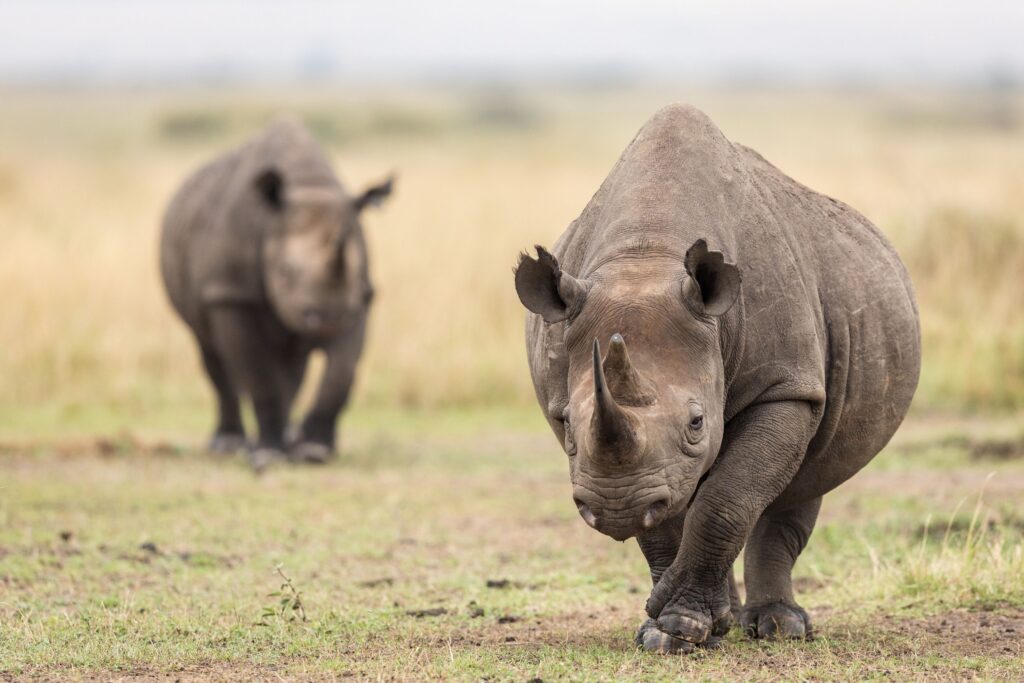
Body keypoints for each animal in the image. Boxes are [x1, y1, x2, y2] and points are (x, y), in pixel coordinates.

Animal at [160, 119, 393, 470]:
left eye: (352, 270)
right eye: (284, 272)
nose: (328, 318)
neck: (307, 187)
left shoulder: (359, 299)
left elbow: (340, 374)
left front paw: (313, 450)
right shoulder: (232, 294)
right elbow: (259, 377)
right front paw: (269, 454)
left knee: (291, 364)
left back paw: (287, 439)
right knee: (210, 350)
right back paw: (230, 445)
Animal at [514, 104, 920, 653]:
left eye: (697, 423)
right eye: (566, 425)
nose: (616, 509)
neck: (645, 257)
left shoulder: (786, 387)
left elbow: (725, 501)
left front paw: (678, 625)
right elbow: (667, 515)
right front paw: (672, 631)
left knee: (797, 485)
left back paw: (780, 628)